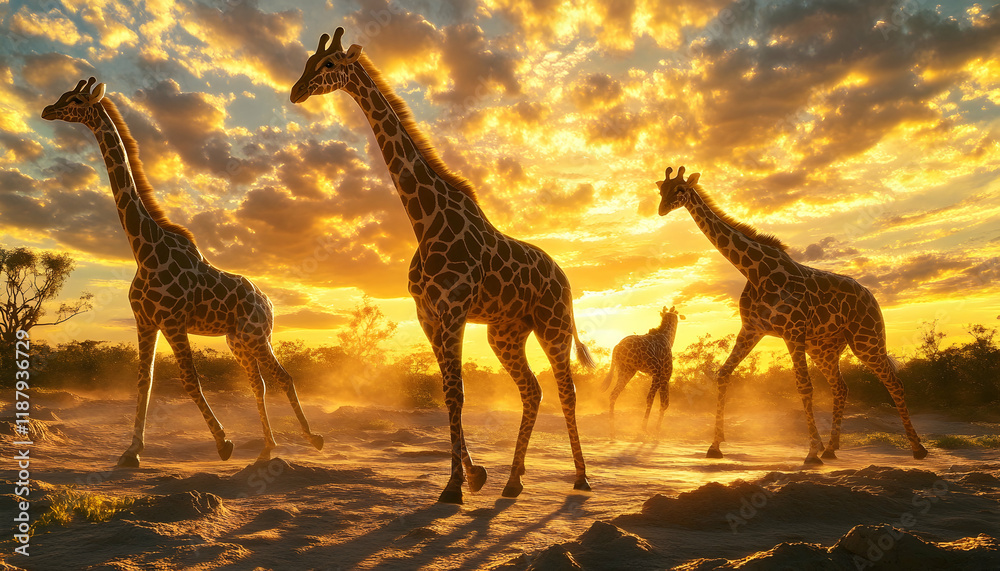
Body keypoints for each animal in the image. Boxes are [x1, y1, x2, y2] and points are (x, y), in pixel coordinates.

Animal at [42, 78, 324, 466]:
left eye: (76, 100)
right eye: (63, 96)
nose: (46, 110)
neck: (145, 250)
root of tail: (268, 302)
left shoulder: (173, 320)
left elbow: (190, 379)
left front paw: (223, 443)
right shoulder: (146, 321)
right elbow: (144, 381)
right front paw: (131, 451)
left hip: (256, 335)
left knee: (284, 377)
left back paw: (313, 438)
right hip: (237, 340)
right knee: (259, 382)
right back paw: (268, 447)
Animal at [291, 28, 595, 504]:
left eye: (329, 65)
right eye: (307, 62)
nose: (296, 91)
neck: (425, 219)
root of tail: (564, 277)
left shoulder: (452, 310)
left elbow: (458, 393)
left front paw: (454, 486)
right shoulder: (428, 315)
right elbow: (448, 393)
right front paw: (474, 476)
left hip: (553, 323)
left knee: (567, 390)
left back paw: (581, 478)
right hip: (506, 332)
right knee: (532, 391)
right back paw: (513, 480)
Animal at [601, 306, 683, 439]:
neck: (667, 336)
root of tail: (617, 347)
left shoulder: (661, 376)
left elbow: (663, 403)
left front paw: (656, 429)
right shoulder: (664, 374)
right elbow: (663, 403)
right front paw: (655, 429)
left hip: (626, 370)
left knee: (613, 394)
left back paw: (613, 430)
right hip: (650, 370)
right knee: (648, 398)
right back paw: (642, 428)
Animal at [655, 166, 927, 464]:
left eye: (680, 190)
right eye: (661, 190)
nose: (661, 209)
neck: (756, 271)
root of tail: (870, 295)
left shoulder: (793, 331)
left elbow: (803, 386)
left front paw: (811, 452)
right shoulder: (752, 329)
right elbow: (724, 374)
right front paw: (715, 446)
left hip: (866, 338)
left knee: (894, 382)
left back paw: (918, 448)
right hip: (824, 347)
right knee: (841, 387)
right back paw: (832, 448)